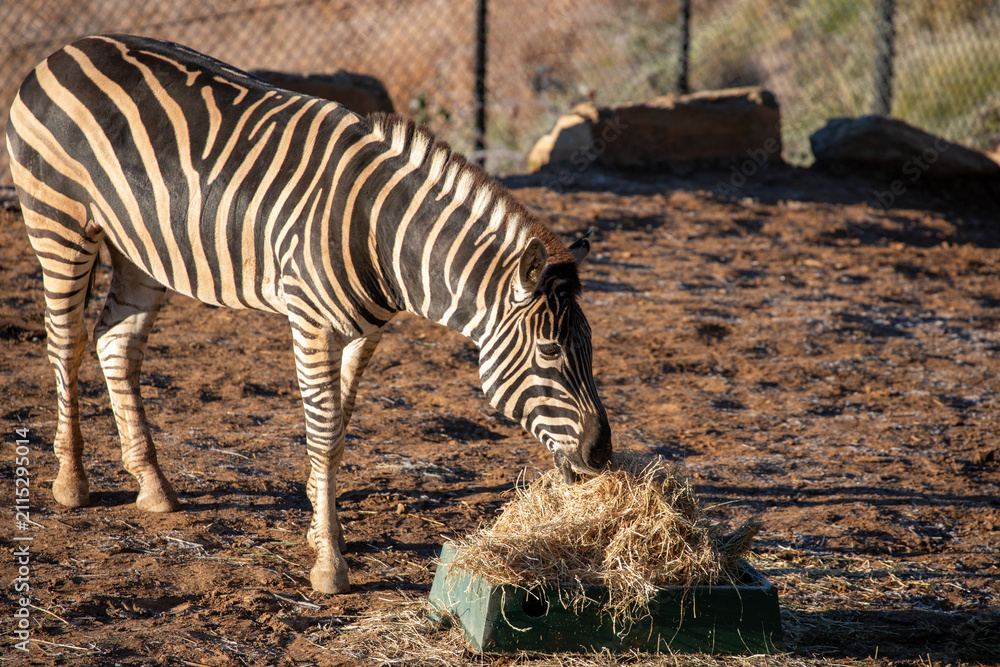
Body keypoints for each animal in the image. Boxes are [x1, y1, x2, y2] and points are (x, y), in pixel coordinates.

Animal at [6, 34, 612, 594]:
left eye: (590, 348)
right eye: (551, 351)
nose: (601, 454)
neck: (383, 235)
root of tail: (64, 50)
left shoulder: (366, 331)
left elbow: (339, 422)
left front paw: (318, 527)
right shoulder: (311, 323)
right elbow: (325, 436)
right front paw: (330, 565)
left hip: (139, 248)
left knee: (116, 342)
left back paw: (153, 486)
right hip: (58, 222)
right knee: (66, 343)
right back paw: (71, 482)